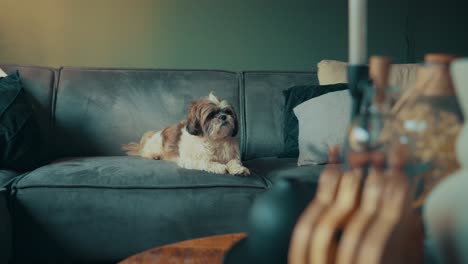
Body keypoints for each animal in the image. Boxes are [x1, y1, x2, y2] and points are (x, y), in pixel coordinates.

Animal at [122, 92, 250, 176]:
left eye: (228, 112)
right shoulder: (190, 160)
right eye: (211, 115)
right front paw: (219, 166)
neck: (215, 140)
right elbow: (205, 161)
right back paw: (154, 156)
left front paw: (238, 169)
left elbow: (234, 161)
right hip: (155, 146)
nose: (223, 116)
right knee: (145, 153)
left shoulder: (232, 155)